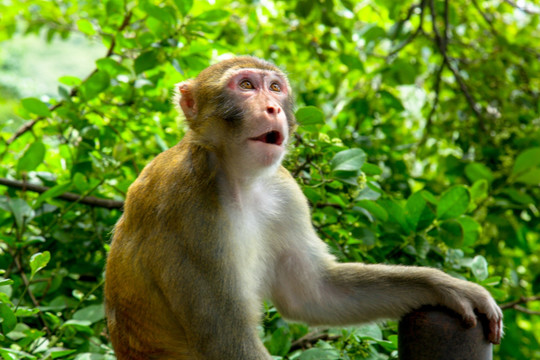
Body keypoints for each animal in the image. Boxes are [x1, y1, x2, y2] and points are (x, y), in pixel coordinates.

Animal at [104, 56, 502, 360]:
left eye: (275, 87)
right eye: (245, 86)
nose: (273, 107)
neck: (237, 181)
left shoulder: (286, 194)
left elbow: (313, 292)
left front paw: (445, 286)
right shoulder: (187, 209)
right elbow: (227, 342)